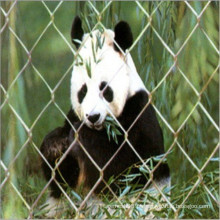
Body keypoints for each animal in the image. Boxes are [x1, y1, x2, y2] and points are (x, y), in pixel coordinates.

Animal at [40, 16, 170, 217]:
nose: (93, 117)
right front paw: (55, 145)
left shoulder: (140, 114)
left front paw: (81, 138)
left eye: (105, 89)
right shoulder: (73, 115)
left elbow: (124, 171)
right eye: (83, 91)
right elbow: (62, 182)